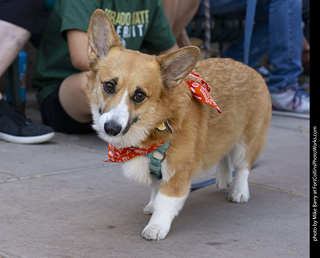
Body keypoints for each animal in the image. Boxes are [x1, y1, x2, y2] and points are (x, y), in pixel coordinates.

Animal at [85, 9, 270, 240]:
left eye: (139, 96)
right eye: (109, 86)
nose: (111, 128)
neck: (157, 124)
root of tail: (250, 68)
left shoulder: (177, 172)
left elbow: (165, 201)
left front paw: (156, 226)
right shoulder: (157, 170)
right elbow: (155, 190)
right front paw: (151, 206)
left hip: (248, 140)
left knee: (243, 166)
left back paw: (239, 191)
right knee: (223, 154)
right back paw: (223, 178)